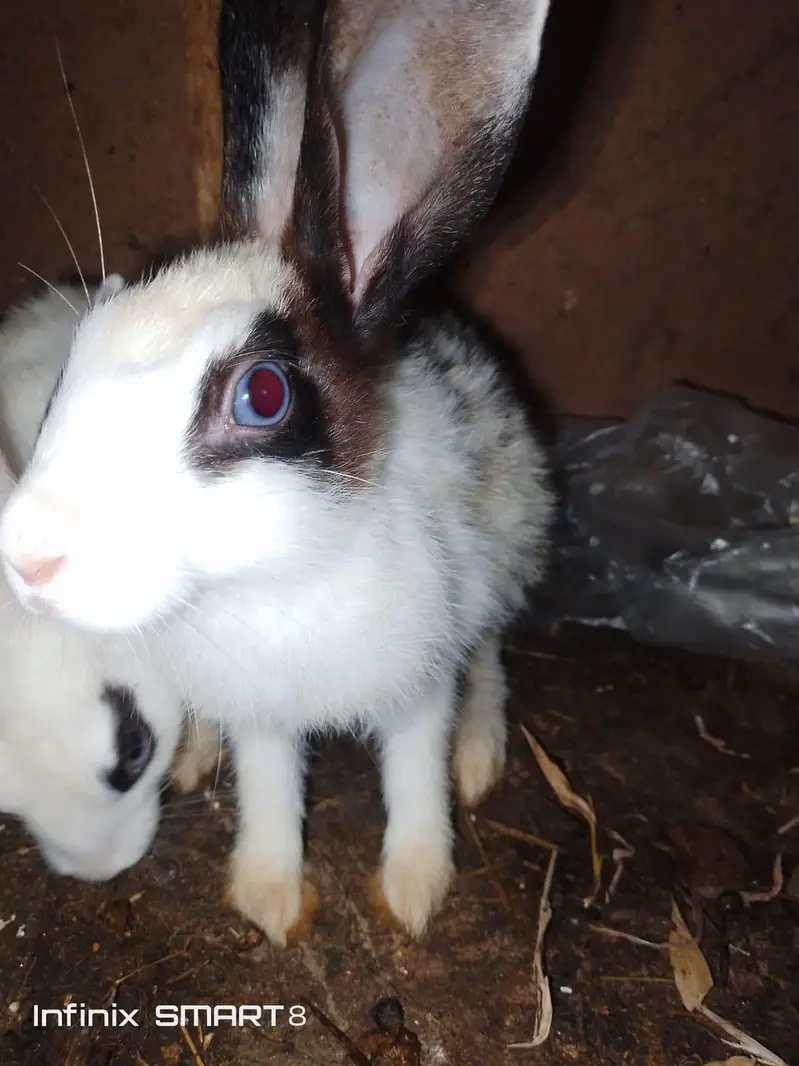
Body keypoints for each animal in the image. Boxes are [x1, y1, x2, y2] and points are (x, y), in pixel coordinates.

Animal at [0, 0, 555, 946]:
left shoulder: (415, 686)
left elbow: (412, 775)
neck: (275, 581)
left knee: (487, 657)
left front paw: (415, 890)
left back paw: (481, 756)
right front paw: (268, 898)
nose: (26, 561)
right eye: (77, 355)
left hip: (504, 553)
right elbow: (267, 790)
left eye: (261, 396)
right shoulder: (260, 711)